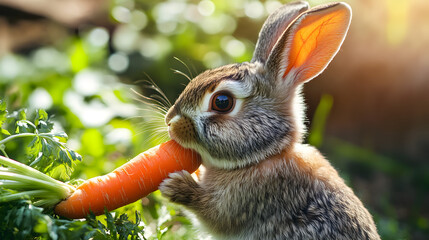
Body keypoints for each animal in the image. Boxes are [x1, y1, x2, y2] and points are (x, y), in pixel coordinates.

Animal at [157, 1, 378, 240]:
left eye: (222, 102)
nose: (170, 122)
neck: (266, 155)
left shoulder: (246, 201)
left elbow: (211, 213)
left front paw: (175, 185)